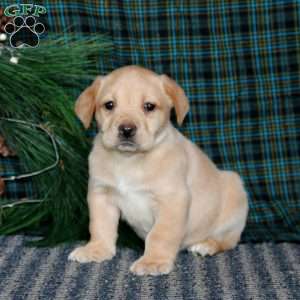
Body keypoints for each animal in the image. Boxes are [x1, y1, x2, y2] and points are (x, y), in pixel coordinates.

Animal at [68, 65, 248, 276]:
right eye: (109, 105)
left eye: (149, 106)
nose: (126, 129)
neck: (129, 161)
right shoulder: (101, 196)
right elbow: (100, 226)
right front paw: (96, 249)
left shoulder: (172, 200)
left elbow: (159, 235)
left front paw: (152, 261)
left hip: (234, 196)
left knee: (228, 241)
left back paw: (206, 245)